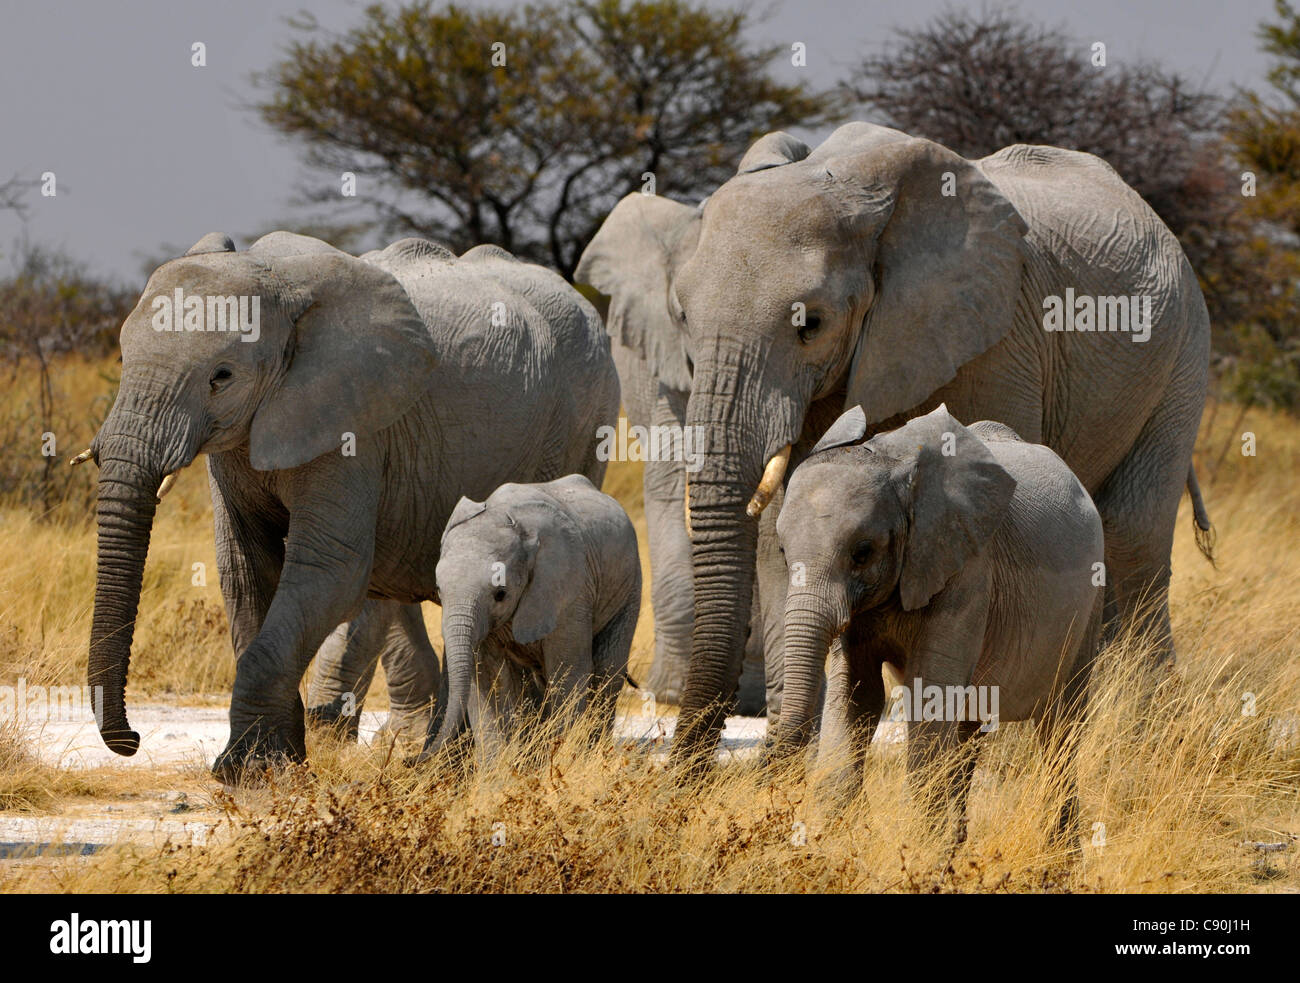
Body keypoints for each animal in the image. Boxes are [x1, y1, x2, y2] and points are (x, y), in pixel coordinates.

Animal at [416, 473, 639, 764]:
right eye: (439, 590)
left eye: (501, 594)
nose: (410, 760)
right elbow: (486, 679)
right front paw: (496, 772)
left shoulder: (570, 590)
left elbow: (568, 674)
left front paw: (561, 760)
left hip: (630, 589)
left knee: (607, 669)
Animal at [665, 122, 1211, 759]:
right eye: (682, 316)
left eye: (810, 324)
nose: (685, 774)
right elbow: (782, 519)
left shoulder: (997, 337)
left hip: (1182, 355)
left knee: (1133, 532)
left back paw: (1142, 739)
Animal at [774, 403, 1102, 842]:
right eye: (782, 552)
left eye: (862, 553)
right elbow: (856, 694)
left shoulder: (968, 572)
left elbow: (928, 700)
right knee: (969, 725)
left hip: (1090, 606)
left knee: (1060, 728)